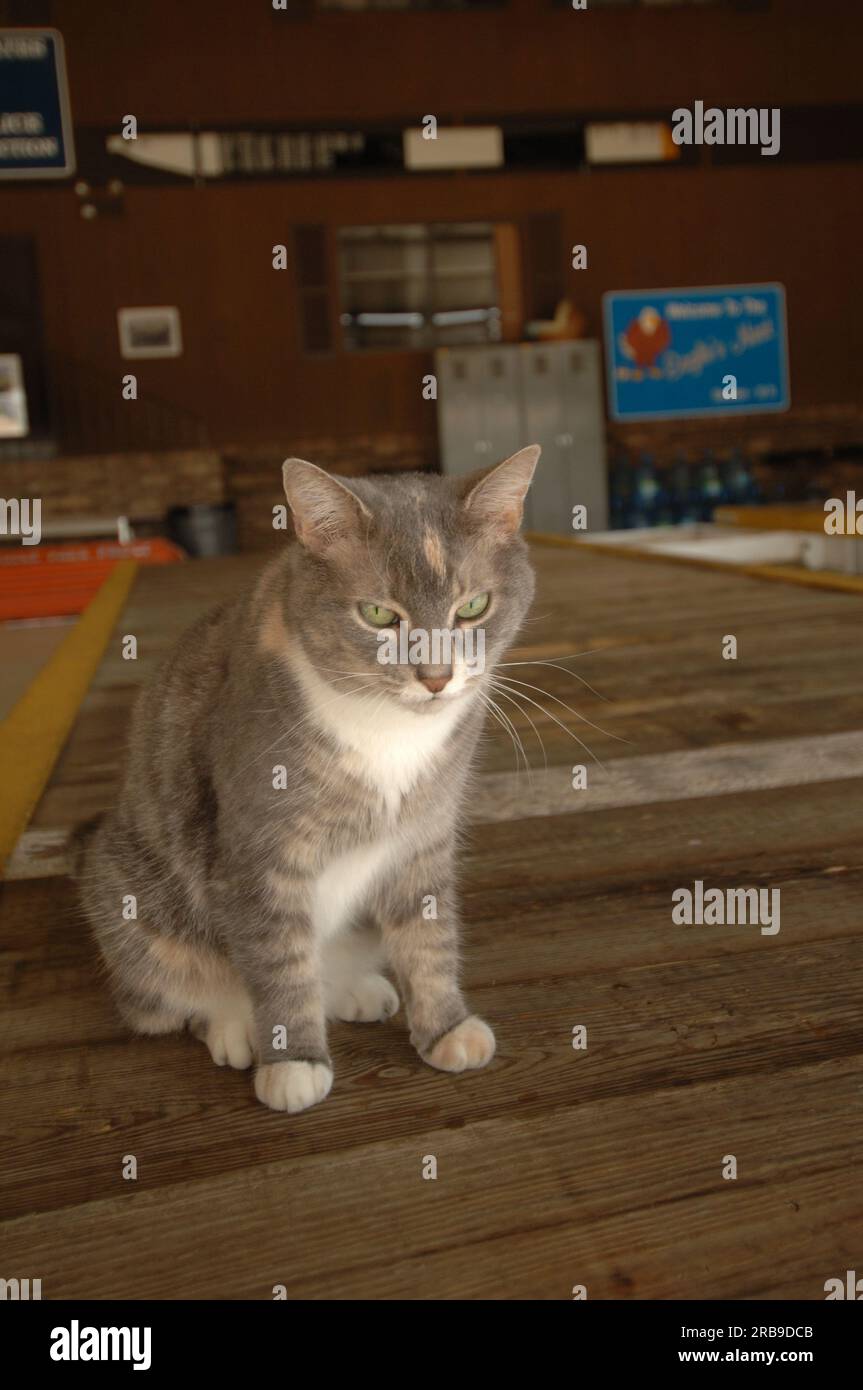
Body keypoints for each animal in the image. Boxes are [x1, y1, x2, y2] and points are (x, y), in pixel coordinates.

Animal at [80, 450, 539, 1112]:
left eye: (474, 608)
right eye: (378, 614)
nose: (435, 678)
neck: (386, 731)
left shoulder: (423, 836)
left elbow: (428, 936)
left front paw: (445, 1027)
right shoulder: (261, 850)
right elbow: (278, 961)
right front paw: (293, 1061)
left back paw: (354, 990)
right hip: (128, 896)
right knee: (172, 994)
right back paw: (233, 1025)